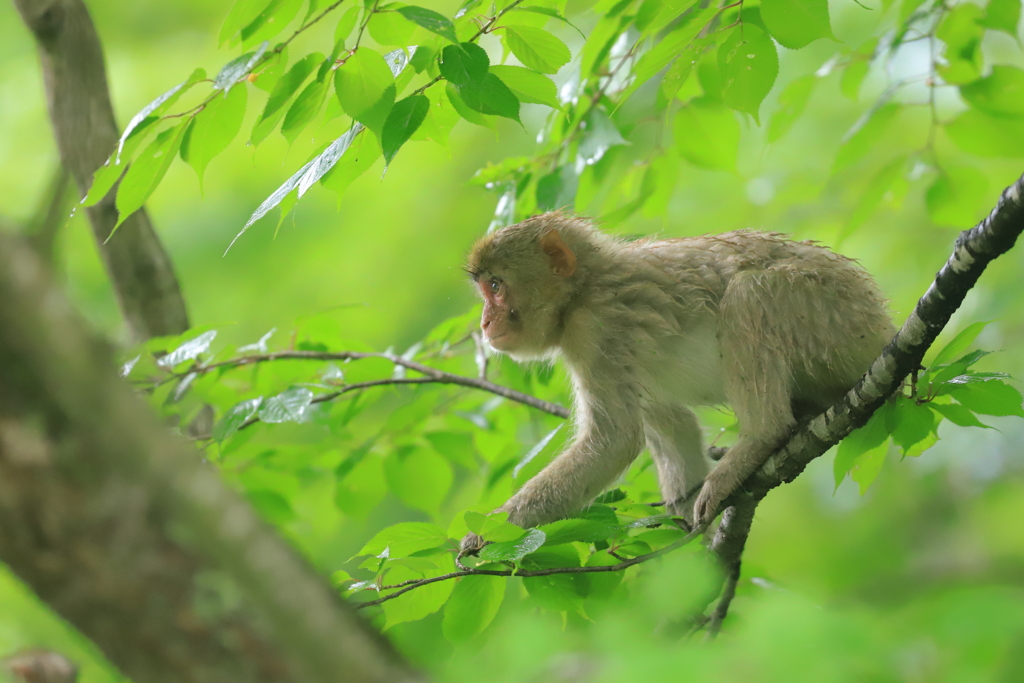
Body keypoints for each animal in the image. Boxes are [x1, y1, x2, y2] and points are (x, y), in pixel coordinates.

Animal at [460, 210, 892, 552]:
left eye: (495, 286)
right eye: (484, 289)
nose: (485, 322)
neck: (582, 289)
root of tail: (881, 325)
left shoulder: (594, 330)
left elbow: (613, 443)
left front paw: (488, 532)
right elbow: (671, 423)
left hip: (832, 316)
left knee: (749, 293)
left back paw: (761, 437)